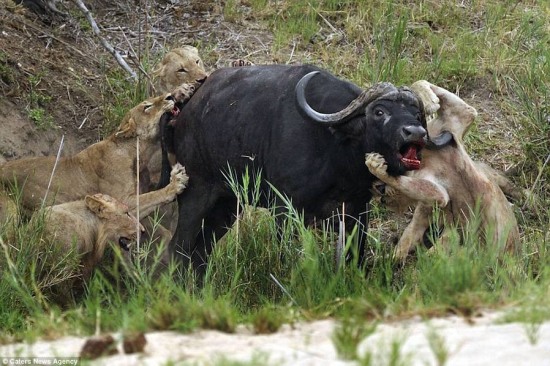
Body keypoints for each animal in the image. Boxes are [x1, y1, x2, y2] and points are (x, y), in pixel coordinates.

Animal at [166, 65, 430, 272]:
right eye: (379, 111)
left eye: (417, 114)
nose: (416, 132)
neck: (336, 152)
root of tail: (188, 110)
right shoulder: (284, 208)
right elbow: (286, 256)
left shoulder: (357, 211)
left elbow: (354, 256)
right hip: (196, 194)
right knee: (178, 248)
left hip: (228, 205)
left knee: (201, 252)